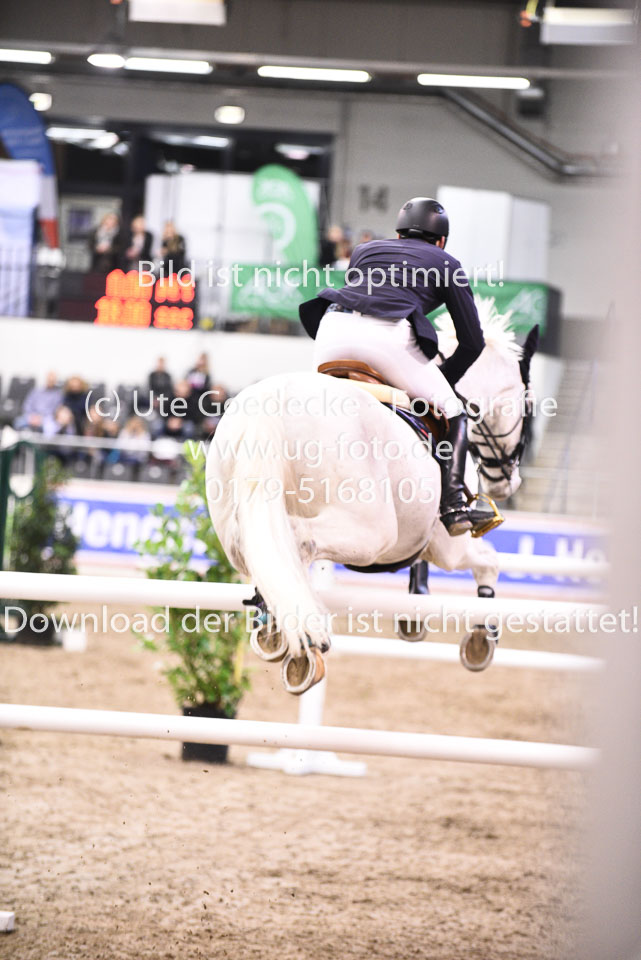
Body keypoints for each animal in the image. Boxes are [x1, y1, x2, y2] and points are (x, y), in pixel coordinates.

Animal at [205, 299, 538, 693]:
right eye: (529, 407)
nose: (507, 482)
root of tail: (273, 400)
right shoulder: (447, 545)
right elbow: (489, 561)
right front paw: (480, 638)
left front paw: (415, 613)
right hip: (372, 530)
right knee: (298, 541)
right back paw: (301, 639)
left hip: (237, 521)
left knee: (261, 551)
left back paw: (274, 624)